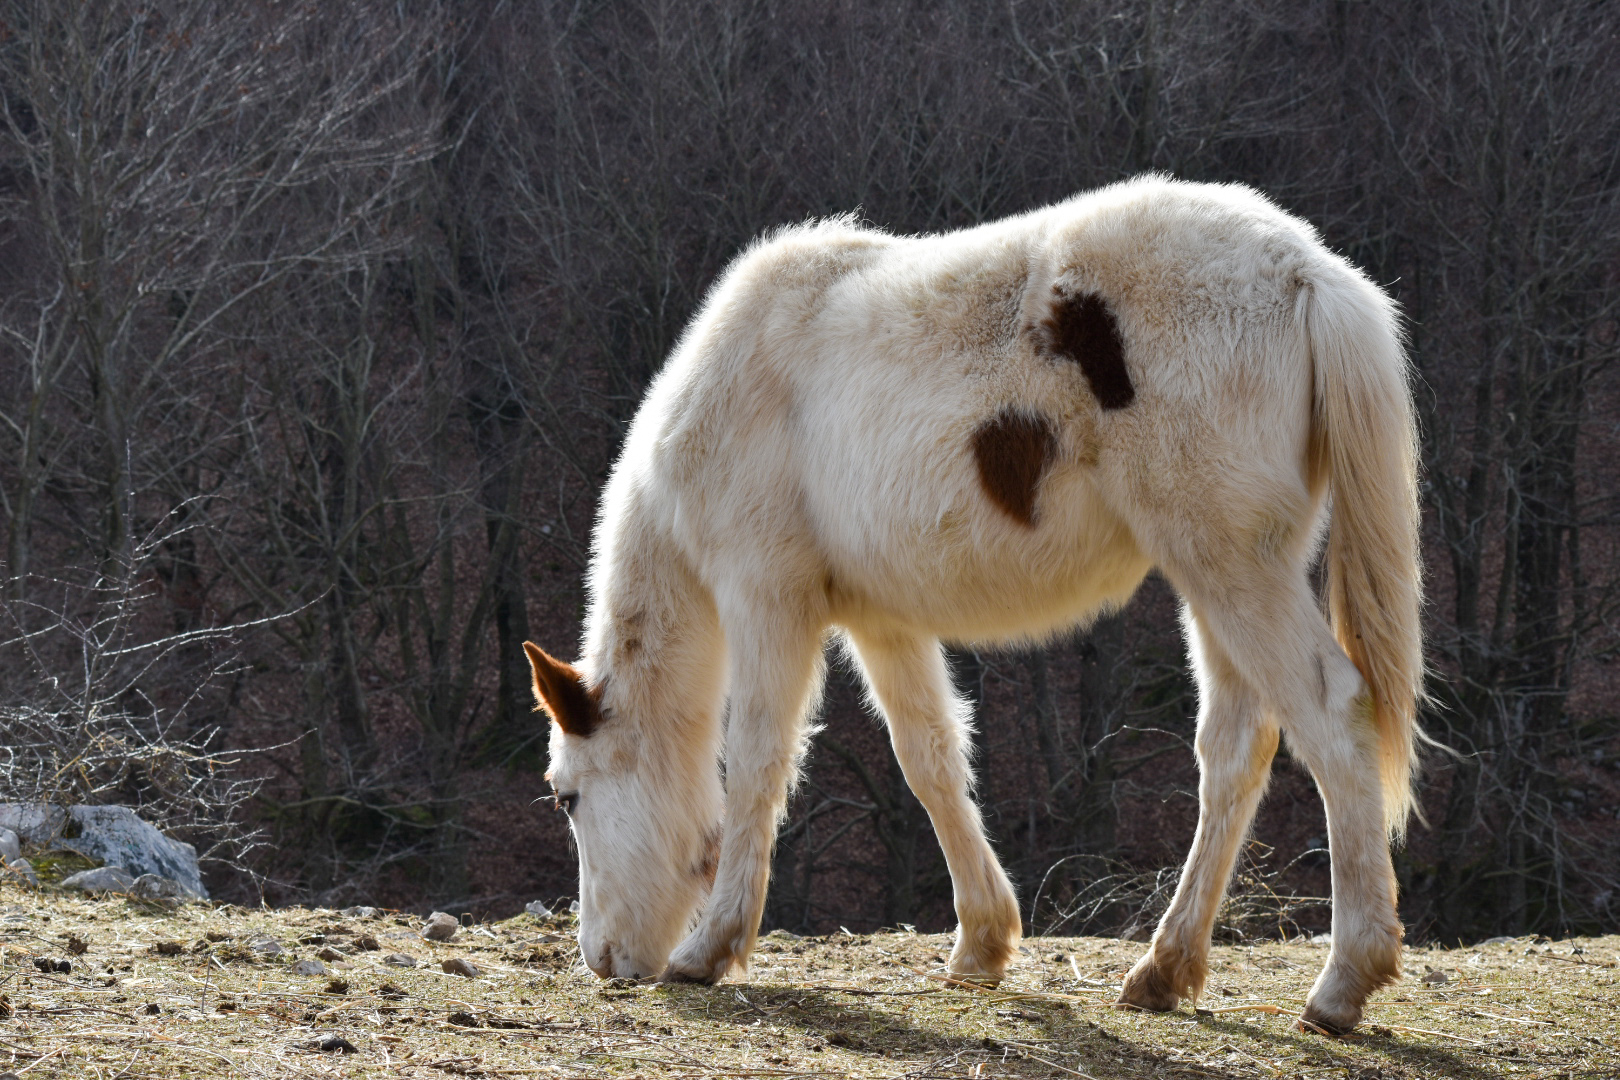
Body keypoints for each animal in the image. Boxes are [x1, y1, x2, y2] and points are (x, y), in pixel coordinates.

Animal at [523, 174, 1422, 1036]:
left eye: (568, 797)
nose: (601, 959)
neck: (732, 389)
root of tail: (1303, 270)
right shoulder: (880, 619)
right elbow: (929, 758)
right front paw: (982, 943)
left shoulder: (767, 599)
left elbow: (756, 763)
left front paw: (710, 948)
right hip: (1217, 578)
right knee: (1236, 749)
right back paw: (1164, 971)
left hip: (1233, 569)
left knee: (1333, 716)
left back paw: (1343, 981)